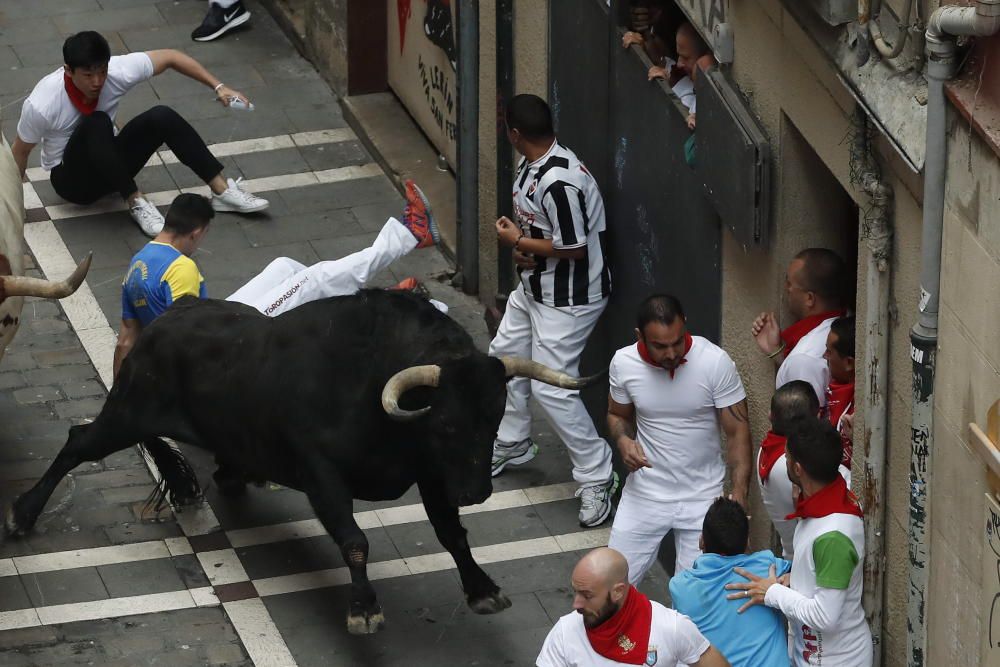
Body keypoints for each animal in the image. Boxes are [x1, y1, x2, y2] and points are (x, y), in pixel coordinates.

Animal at [3, 290, 596, 636]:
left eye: (495, 418)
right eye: (447, 423)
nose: (477, 492)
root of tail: (171, 315)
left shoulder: (431, 472)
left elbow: (452, 533)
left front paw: (482, 590)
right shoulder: (323, 474)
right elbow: (354, 539)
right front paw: (363, 607)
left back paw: (233, 475)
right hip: (127, 413)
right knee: (78, 442)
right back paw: (23, 513)